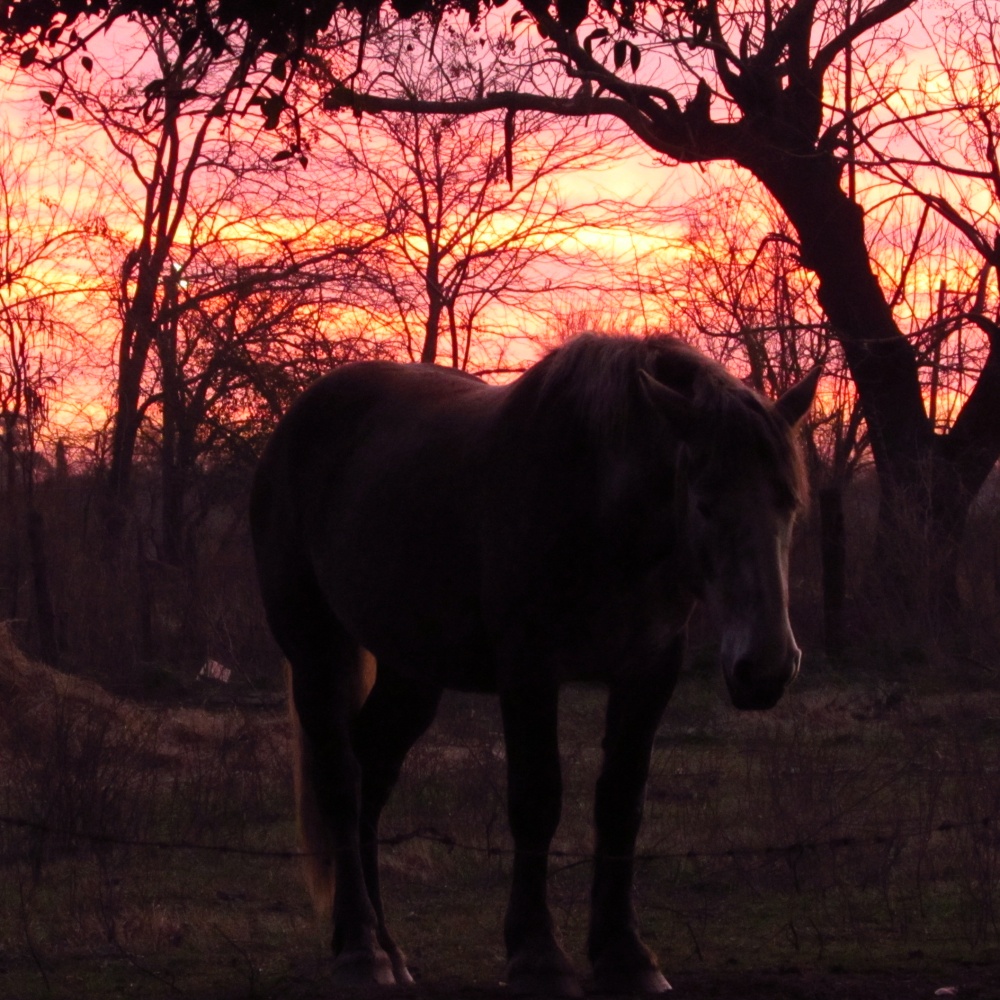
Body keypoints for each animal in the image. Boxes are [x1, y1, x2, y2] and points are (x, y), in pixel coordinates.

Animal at [248, 334, 812, 992]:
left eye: (789, 503)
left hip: (412, 669)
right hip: (315, 647)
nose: (766, 668)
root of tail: (295, 424)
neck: (594, 504)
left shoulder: (649, 671)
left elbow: (621, 803)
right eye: (704, 504)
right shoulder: (528, 670)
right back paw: (361, 952)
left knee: (372, 774)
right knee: (340, 780)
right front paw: (538, 955)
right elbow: (537, 799)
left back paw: (386, 948)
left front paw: (626, 956)